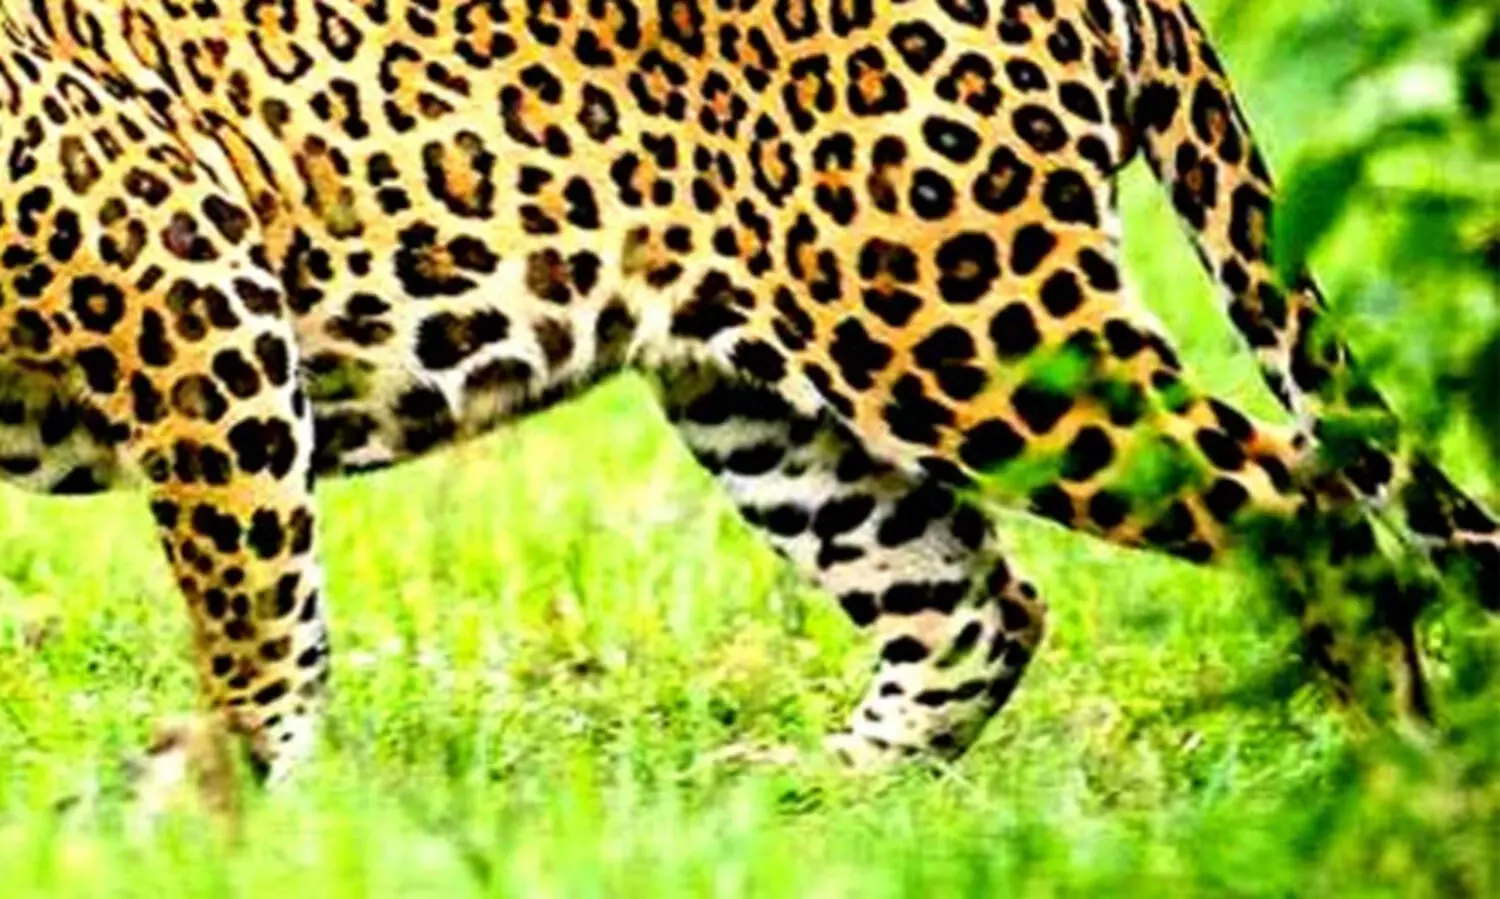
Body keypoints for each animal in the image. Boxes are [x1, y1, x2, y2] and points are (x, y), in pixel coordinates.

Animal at [0, 0, 1494, 798]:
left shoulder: (191, 284)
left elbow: (256, 607)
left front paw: (216, 805)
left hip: (967, 325)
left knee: (1300, 500)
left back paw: (1394, 783)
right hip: (765, 394)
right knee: (975, 600)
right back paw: (815, 800)